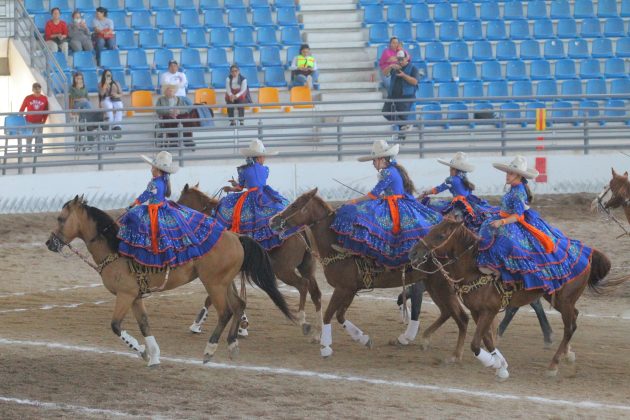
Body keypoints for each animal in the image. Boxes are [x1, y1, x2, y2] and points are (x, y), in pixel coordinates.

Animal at [45, 195, 296, 366]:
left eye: (61, 218)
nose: (50, 243)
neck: (115, 249)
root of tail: (235, 236)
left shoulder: (125, 295)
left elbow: (116, 326)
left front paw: (141, 351)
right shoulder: (135, 297)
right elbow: (144, 324)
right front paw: (153, 355)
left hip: (214, 284)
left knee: (225, 312)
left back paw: (209, 350)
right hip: (225, 283)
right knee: (238, 305)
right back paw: (232, 344)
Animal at [179, 184, 324, 338]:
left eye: (180, 202)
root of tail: (301, 231)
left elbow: (212, 297)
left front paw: (197, 324)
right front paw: (242, 324)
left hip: (283, 270)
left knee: (303, 285)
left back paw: (303, 321)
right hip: (306, 267)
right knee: (316, 293)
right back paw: (318, 333)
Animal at [270, 189, 472, 360]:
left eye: (294, 205)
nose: (273, 220)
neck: (337, 245)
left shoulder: (343, 288)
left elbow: (329, 315)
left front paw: (326, 347)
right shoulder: (350, 289)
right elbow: (340, 315)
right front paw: (363, 339)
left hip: (442, 286)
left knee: (460, 316)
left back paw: (453, 354)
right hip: (433, 284)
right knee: (447, 312)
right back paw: (421, 339)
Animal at [408, 218, 616, 378]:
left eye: (441, 235)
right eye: (432, 229)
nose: (413, 252)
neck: (475, 269)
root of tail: (588, 253)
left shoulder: (489, 310)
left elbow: (476, 343)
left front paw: (493, 363)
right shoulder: (477, 310)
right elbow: (487, 339)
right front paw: (500, 365)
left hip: (564, 301)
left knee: (570, 327)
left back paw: (553, 366)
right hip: (558, 299)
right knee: (574, 317)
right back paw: (567, 354)